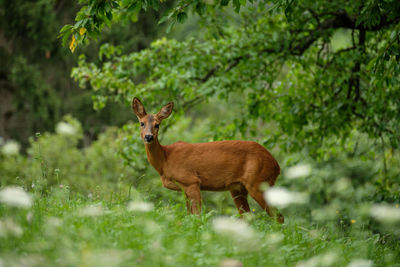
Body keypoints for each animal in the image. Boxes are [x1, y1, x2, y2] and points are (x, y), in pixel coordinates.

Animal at [133, 97, 282, 223]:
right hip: (238, 188)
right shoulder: (183, 188)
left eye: (157, 125)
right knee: (248, 217)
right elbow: (188, 215)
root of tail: (276, 165)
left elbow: (197, 216)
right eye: (141, 123)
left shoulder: (191, 181)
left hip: (259, 182)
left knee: (278, 216)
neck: (165, 159)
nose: (148, 137)